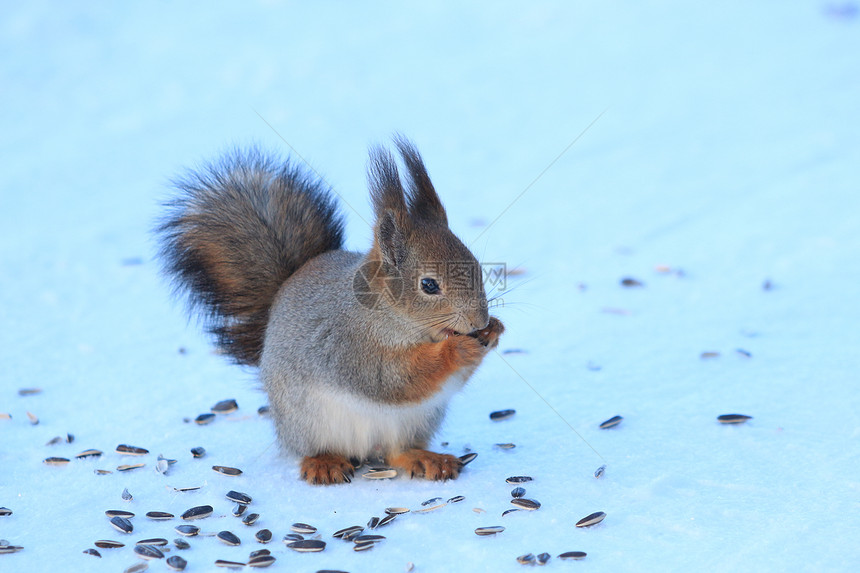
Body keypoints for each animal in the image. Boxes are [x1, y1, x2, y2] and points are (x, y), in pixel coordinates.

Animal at [158, 137, 500, 482]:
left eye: (476, 266)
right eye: (429, 285)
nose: (479, 320)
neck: (390, 315)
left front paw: (494, 330)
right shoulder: (348, 344)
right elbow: (390, 378)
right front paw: (457, 349)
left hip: (415, 422)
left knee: (397, 453)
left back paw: (428, 459)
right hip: (309, 421)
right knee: (316, 448)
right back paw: (324, 463)